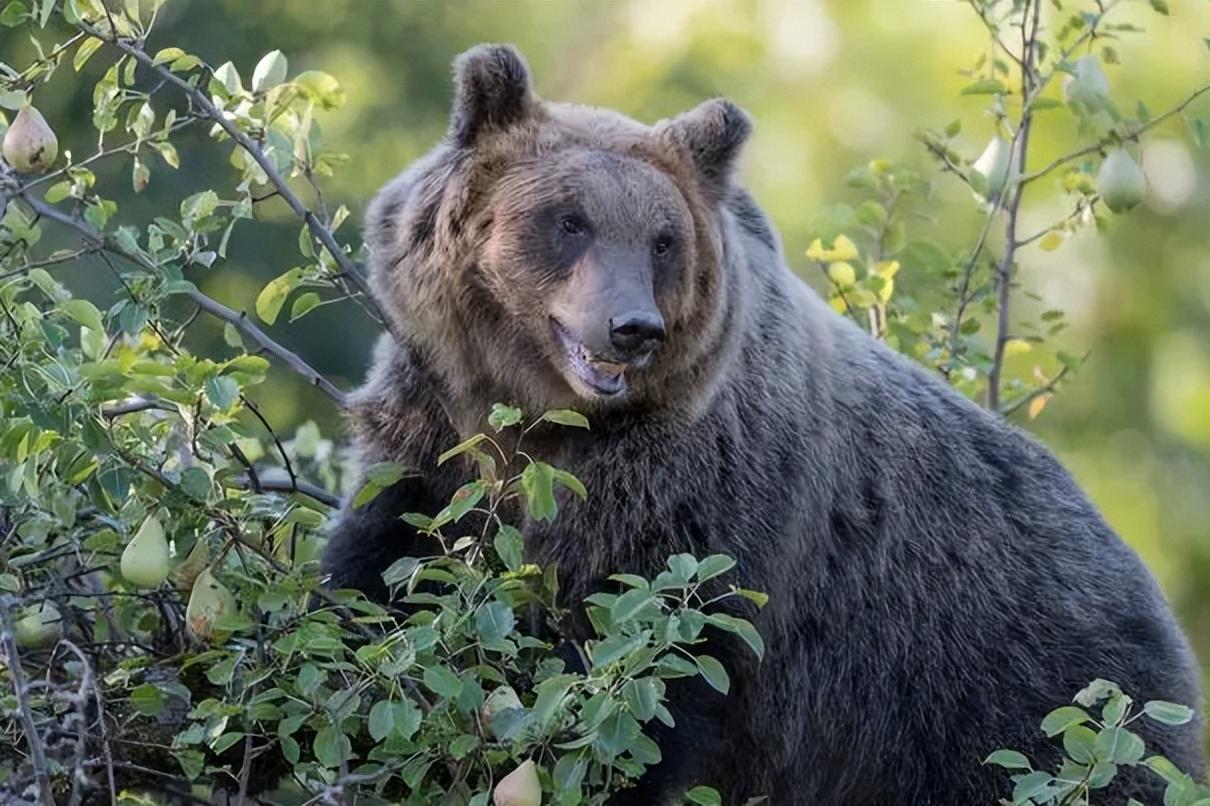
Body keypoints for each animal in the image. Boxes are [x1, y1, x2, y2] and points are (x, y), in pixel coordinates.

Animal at [326, 45, 1205, 803]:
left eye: (663, 240)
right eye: (569, 220)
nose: (632, 327)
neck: (547, 423)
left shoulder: (702, 496)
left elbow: (656, 668)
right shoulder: (434, 427)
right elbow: (380, 574)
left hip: (1014, 692)